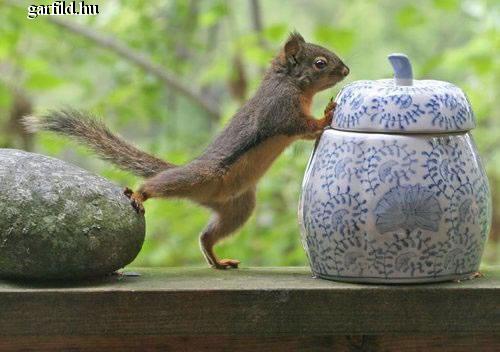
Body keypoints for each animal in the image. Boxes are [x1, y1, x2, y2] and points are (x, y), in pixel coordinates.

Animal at [25, 33, 350, 270]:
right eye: (320, 63)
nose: (346, 70)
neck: (290, 82)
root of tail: (207, 194)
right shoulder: (280, 110)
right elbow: (302, 125)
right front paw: (327, 114)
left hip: (238, 207)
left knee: (207, 236)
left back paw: (217, 259)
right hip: (199, 176)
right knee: (159, 184)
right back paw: (140, 194)